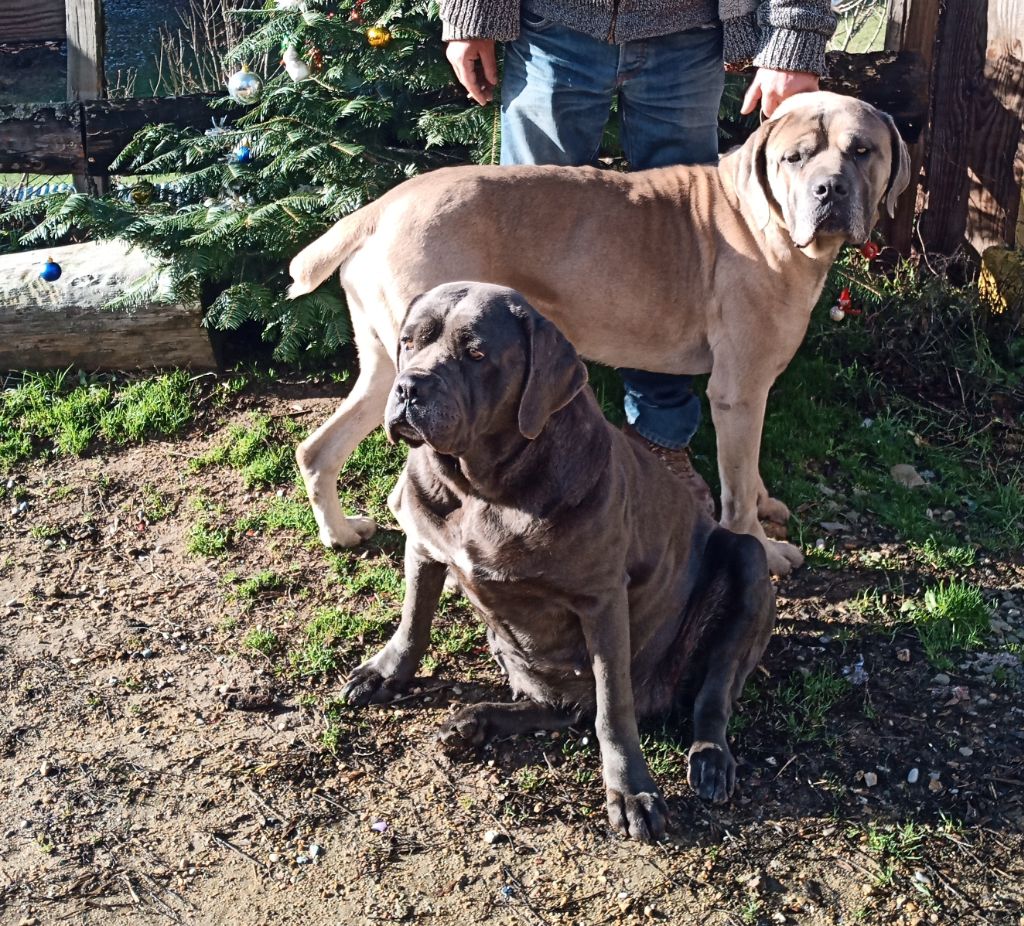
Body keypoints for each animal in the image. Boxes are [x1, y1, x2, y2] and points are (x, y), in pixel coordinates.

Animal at [290, 92, 913, 569]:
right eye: (795, 158)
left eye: (861, 150)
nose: (829, 190)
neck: (764, 219)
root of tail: (378, 208)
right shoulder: (738, 391)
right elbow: (735, 488)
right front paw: (761, 546)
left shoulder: (753, 390)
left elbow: (750, 467)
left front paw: (766, 504)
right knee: (405, 493)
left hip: (391, 369)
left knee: (318, 449)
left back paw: (340, 534)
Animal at [342, 280, 774, 839]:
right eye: (409, 341)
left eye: (476, 353)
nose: (408, 388)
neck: (482, 489)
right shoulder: (423, 547)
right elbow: (413, 621)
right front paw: (384, 673)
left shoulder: (602, 601)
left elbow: (614, 708)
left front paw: (631, 792)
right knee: (561, 707)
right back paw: (472, 721)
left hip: (746, 562)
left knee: (711, 692)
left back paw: (710, 759)